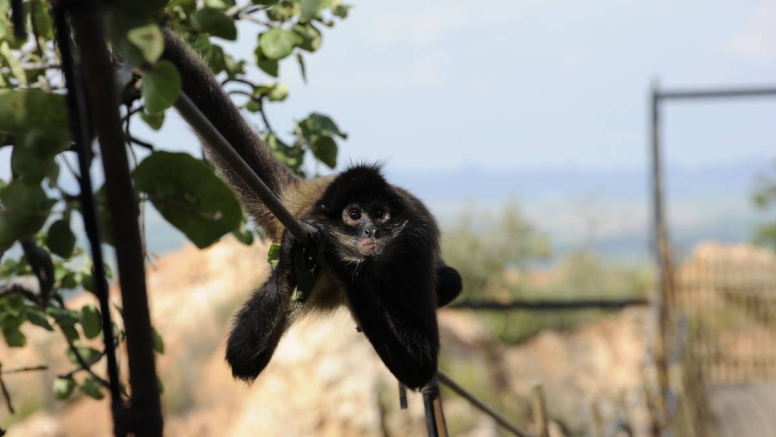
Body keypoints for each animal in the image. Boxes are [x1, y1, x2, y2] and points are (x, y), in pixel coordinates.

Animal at [161, 30, 462, 390]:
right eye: (354, 215)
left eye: (380, 215)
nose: (371, 231)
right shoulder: (312, 255)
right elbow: (242, 358)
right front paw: (294, 254)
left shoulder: (414, 242)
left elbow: (421, 365)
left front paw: (345, 261)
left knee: (451, 281)